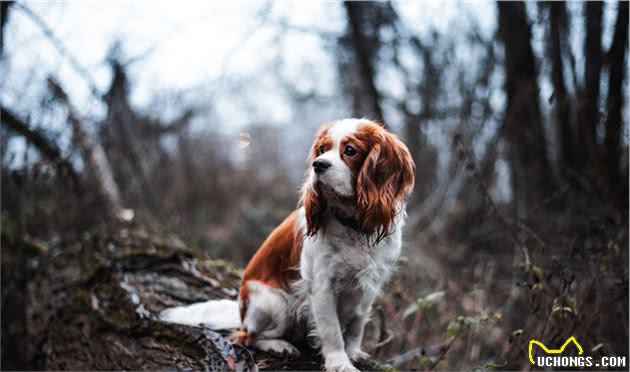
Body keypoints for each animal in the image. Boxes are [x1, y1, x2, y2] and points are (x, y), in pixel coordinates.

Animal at [160, 117, 418, 370]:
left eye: (350, 150)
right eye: (321, 150)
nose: (318, 165)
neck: (353, 225)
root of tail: (241, 313)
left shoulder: (369, 286)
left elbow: (357, 323)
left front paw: (353, 352)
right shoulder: (322, 286)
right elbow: (332, 330)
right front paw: (339, 362)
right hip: (278, 304)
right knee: (247, 337)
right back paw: (279, 346)